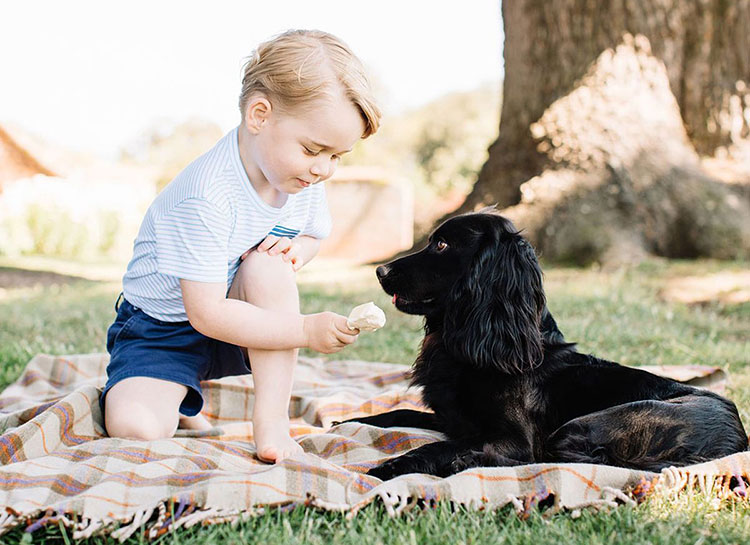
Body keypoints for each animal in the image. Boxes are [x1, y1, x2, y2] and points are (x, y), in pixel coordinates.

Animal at [346, 210, 748, 478]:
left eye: (442, 244)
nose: (380, 270)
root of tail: (737, 440)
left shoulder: (512, 437)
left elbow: (443, 445)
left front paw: (388, 468)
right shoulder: (454, 420)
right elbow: (396, 414)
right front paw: (345, 421)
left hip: (584, 426)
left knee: (552, 459)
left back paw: (467, 463)